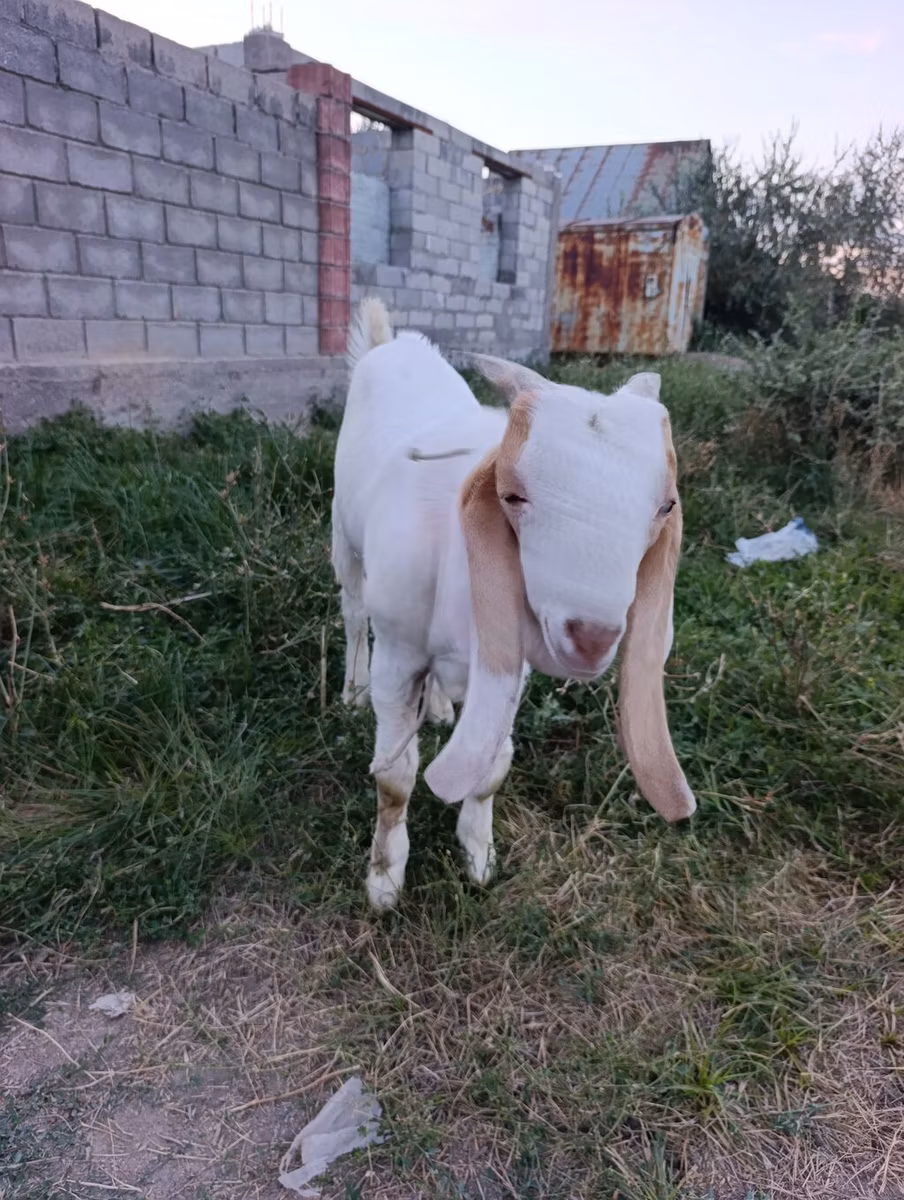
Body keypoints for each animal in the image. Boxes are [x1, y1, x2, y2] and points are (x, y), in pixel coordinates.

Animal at [332, 298, 695, 909]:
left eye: (665, 506)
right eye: (513, 494)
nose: (591, 638)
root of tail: (391, 344)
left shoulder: (514, 660)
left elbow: (493, 767)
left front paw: (478, 855)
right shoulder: (398, 655)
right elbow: (395, 777)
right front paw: (384, 879)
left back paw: (439, 707)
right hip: (344, 537)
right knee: (354, 613)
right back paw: (351, 691)